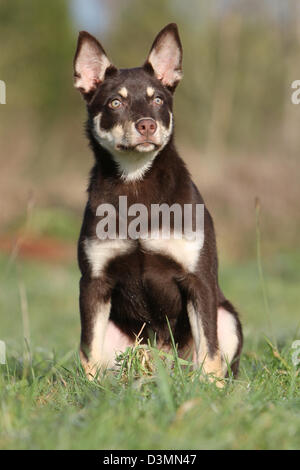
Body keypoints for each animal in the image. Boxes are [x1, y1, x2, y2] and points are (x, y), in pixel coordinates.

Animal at [73, 22, 244, 384]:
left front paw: (211, 389)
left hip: (227, 316)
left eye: (158, 99)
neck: (137, 184)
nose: (147, 125)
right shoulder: (93, 283)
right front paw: (90, 388)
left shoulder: (198, 279)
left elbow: (209, 349)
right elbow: (88, 349)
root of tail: (162, 361)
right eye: (114, 102)